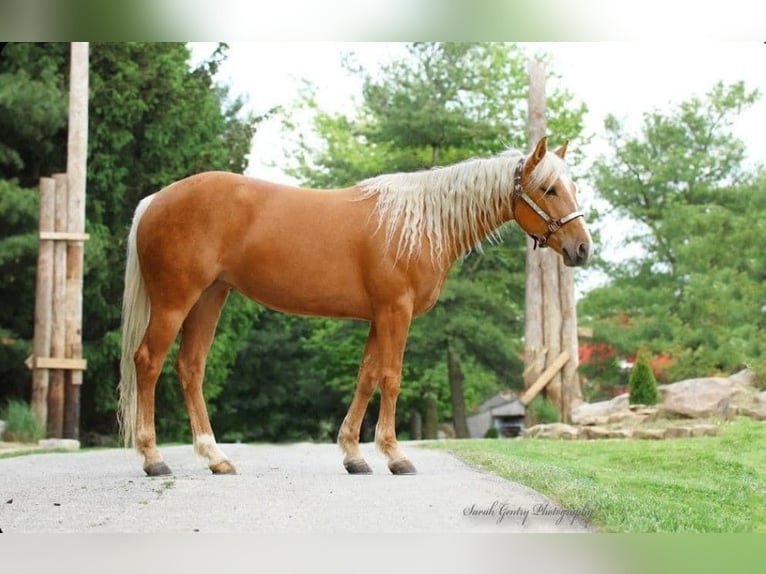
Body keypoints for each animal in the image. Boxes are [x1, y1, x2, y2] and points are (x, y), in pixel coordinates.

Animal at [117, 136, 592, 477]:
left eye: (572, 187)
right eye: (549, 189)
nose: (582, 248)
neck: (418, 223)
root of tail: (154, 201)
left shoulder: (377, 317)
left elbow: (366, 378)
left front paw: (354, 456)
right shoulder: (395, 312)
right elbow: (391, 378)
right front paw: (395, 456)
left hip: (210, 297)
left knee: (190, 368)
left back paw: (215, 457)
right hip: (175, 301)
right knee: (148, 361)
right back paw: (153, 459)